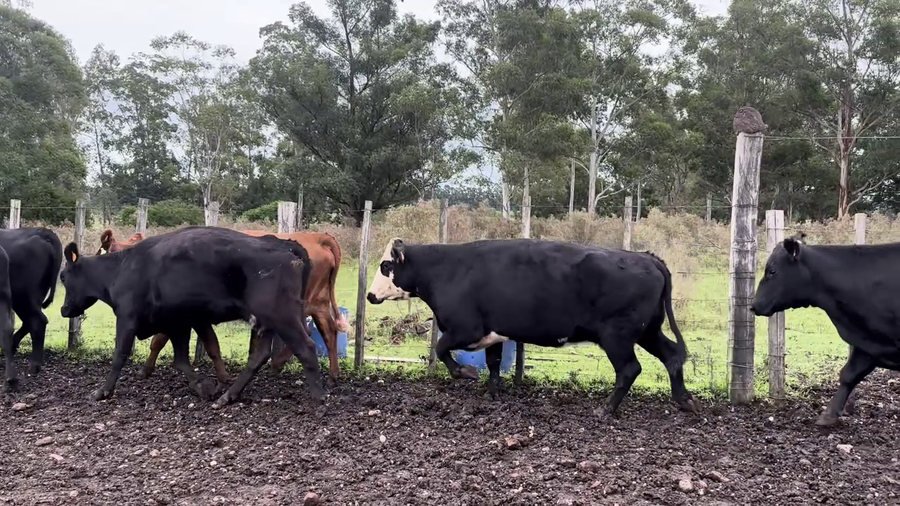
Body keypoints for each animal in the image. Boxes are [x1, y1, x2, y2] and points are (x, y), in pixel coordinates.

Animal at [59, 226, 324, 406]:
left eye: (62, 276)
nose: (63, 310)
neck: (121, 268)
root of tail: (285, 245)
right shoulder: (179, 322)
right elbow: (182, 359)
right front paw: (205, 387)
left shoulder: (127, 317)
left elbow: (119, 356)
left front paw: (102, 391)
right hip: (266, 320)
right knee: (258, 356)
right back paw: (229, 396)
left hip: (282, 315)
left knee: (306, 347)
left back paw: (319, 398)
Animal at [142, 230, 350, 384]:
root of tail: (317, 237)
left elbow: (159, 340)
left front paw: (146, 369)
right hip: (318, 302)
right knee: (328, 331)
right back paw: (333, 375)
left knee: (306, 332)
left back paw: (277, 364)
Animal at [366, 237, 699, 417]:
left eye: (385, 265)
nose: (369, 295)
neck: (447, 269)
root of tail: (646, 258)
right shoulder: (493, 333)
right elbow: (494, 363)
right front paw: (492, 393)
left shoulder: (466, 330)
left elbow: (442, 348)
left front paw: (466, 372)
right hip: (648, 331)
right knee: (672, 355)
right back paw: (684, 400)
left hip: (617, 336)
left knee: (630, 369)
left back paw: (606, 409)